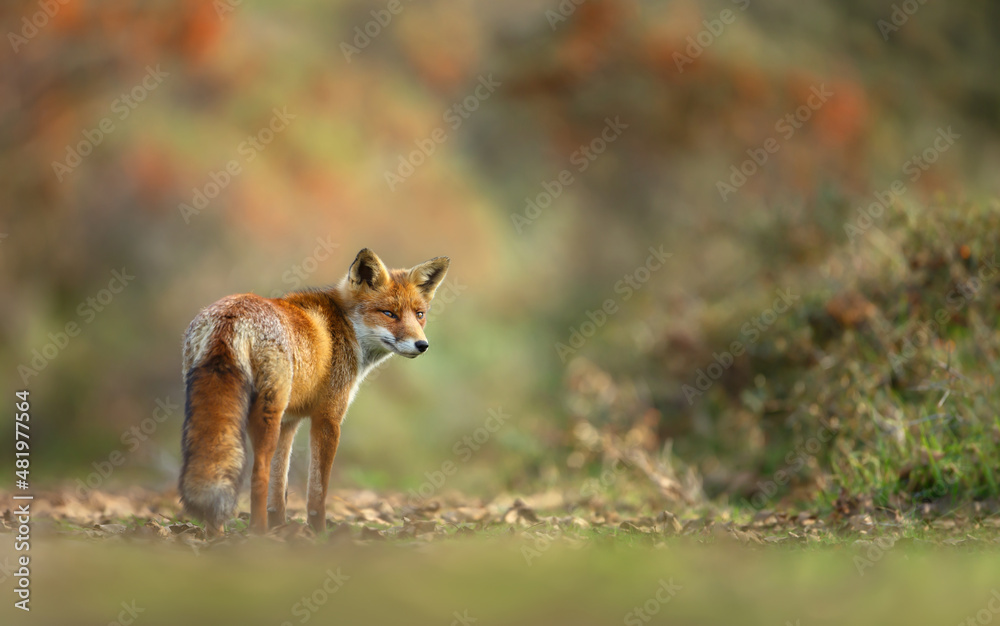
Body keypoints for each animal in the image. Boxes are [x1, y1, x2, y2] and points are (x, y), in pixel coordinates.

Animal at [178, 248, 449, 535]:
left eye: (419, 314)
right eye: (389, 313)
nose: (422, 345)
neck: (345, 325)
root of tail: (232, 313)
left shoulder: (289, 421)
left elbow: (279, 488)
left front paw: (281, 527)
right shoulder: (328, 417)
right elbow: (317, 491)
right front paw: (318, 533)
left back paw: (217, 535)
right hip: (266, 415)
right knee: (257, 474)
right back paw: (258, 534)